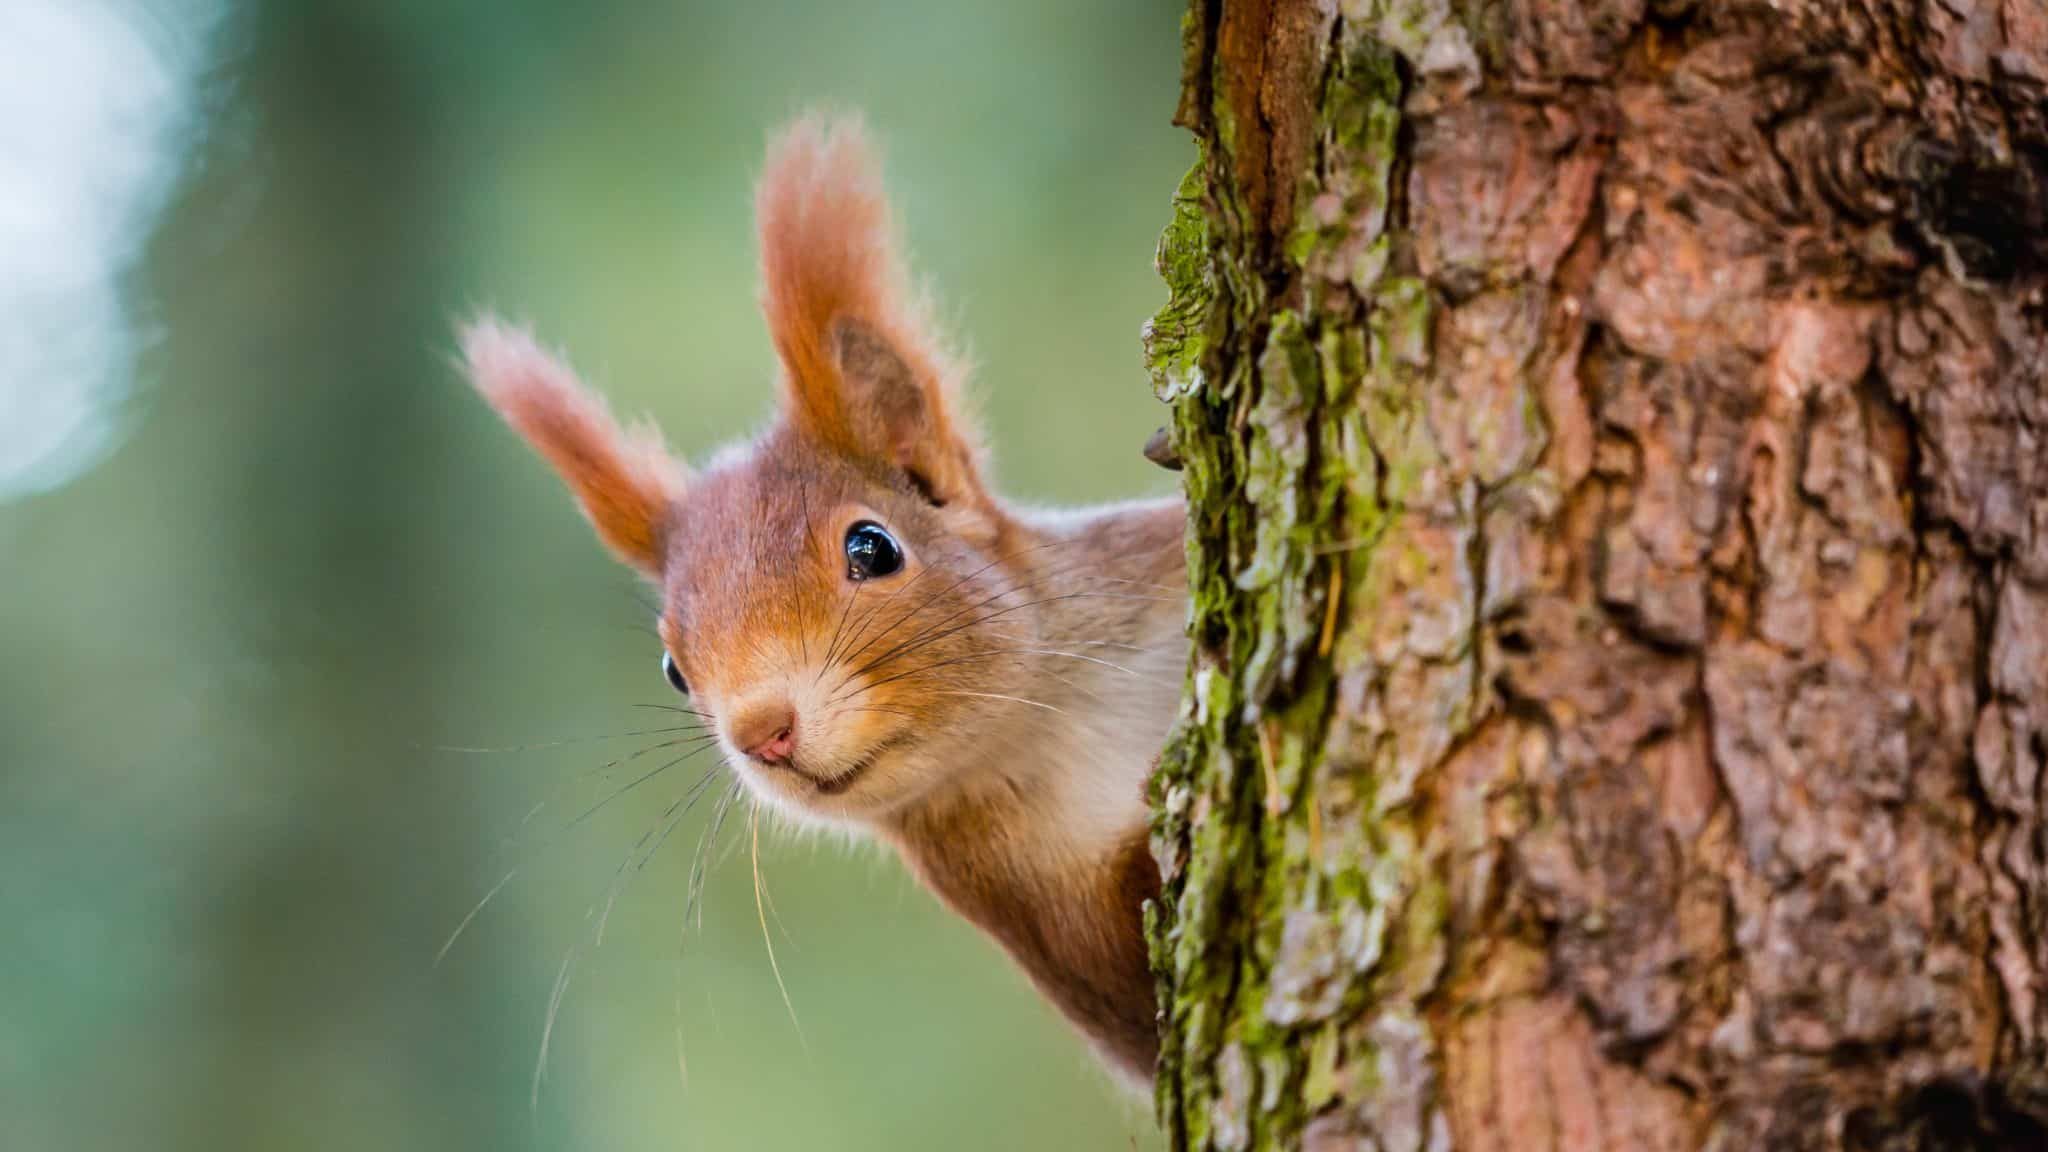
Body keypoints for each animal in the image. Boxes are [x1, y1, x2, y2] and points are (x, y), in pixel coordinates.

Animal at [460, 114, 1187, 1074]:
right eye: (673, 670)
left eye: (872, 548)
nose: (761, 732)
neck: (1057, 721)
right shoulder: (1049, 923)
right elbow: (1139, 993)